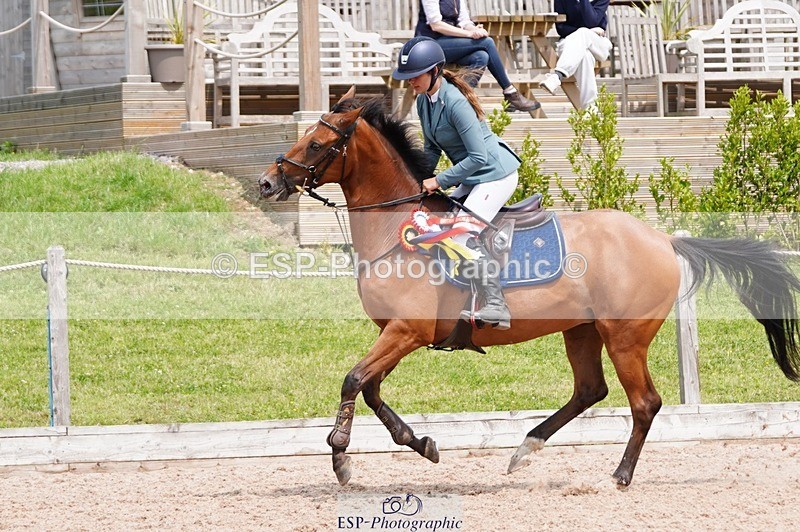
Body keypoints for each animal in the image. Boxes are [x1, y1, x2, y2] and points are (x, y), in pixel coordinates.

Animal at [258, 88, 800, 487]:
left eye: (314, 143)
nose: (267, 183)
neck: (397, 228)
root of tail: (663, 239)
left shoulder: (406, 331)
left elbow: (353, 380)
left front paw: (341, 459)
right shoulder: (396, 333)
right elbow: (370, 389)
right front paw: (421, 443)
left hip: (625, 337)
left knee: (643, 402)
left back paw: (619, 475)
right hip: (581, 330)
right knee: (590, 390)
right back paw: (524, 449)